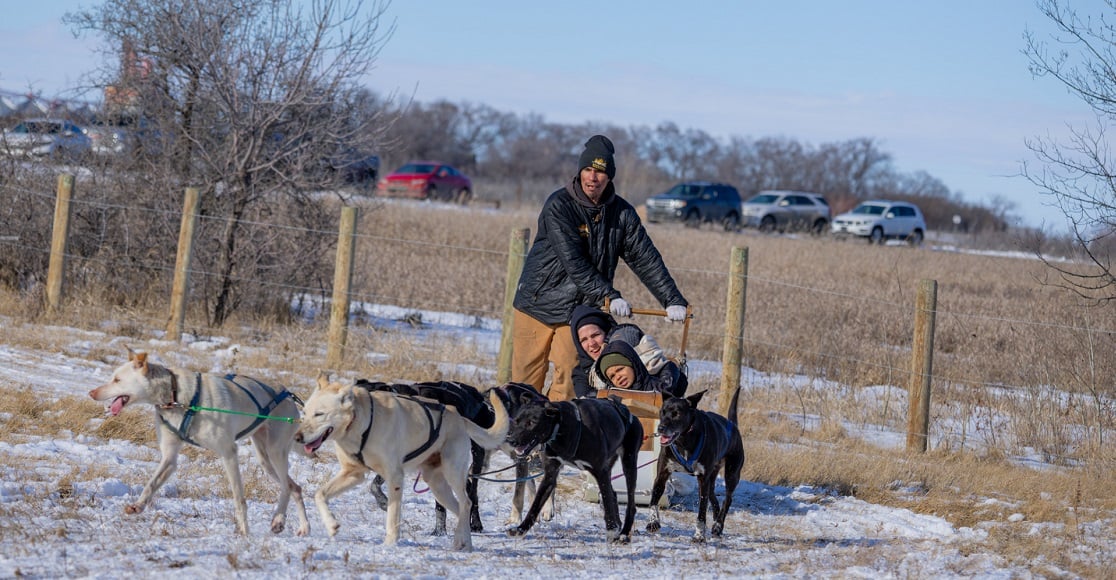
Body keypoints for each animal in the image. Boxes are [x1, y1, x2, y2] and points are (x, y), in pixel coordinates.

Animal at [352, 381, 493, 535]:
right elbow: (374, 485)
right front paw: (383, 501)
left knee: (473, 492)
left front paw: (440, 531)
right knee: (466, 486)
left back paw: (475, 524)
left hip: (474, 456)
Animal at [508, 397, 647, 542]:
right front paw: (521, 529)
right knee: (612, 494)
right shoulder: (551, 473)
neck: (561, 426)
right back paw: (619, 525)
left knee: (630, 503)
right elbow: (535, 505)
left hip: (629, 463)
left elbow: (607, 501)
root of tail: (631, 415)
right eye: (516, 421)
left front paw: (611, 531)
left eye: (531, 422)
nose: (511, 440)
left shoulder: (600, 471)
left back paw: (624, 533)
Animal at [647, 388, 741, 542]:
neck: (683, 441)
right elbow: (653, 501)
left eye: (676, 414)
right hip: (712, 478)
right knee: (714, 498)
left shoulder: (703, 479)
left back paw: (718, 526)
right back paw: (715, 520)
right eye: (662, 411)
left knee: (728, 499)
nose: (660, 428)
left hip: (731, 474)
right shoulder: (662, 474)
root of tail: (733, 426)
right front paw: (653, 521)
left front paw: (699, 535)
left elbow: (702, 511)